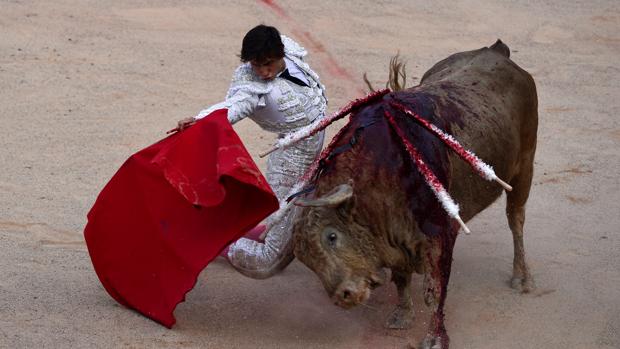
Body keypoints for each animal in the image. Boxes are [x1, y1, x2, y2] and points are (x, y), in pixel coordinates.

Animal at [290, 39, 536, 346]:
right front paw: (402, 316)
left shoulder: (440, 233)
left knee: (516, 219)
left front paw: (435, 337)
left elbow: (435, 288)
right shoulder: (393, 234)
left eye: (332, 236)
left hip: (525, 165)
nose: (343, 297)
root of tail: (496, 51)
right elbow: (401, 277)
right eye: (305, 257)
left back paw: (522, 278)